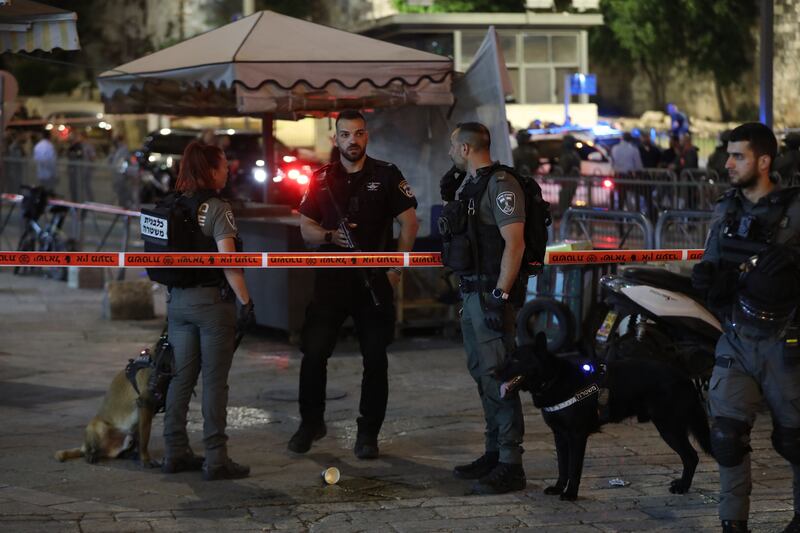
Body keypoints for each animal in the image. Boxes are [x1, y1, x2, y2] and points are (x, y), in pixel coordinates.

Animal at [496, 332, 716, 498]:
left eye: (516, 359)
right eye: (507, 356)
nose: (492, 372)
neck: (554, 378)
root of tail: (685, 378)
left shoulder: (577, 436)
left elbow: (574, 468)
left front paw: (570, 494)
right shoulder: (560, 436)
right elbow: (562, 466)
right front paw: (559, 488)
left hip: (669, 427)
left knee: (691, 457)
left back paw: (683, 487)